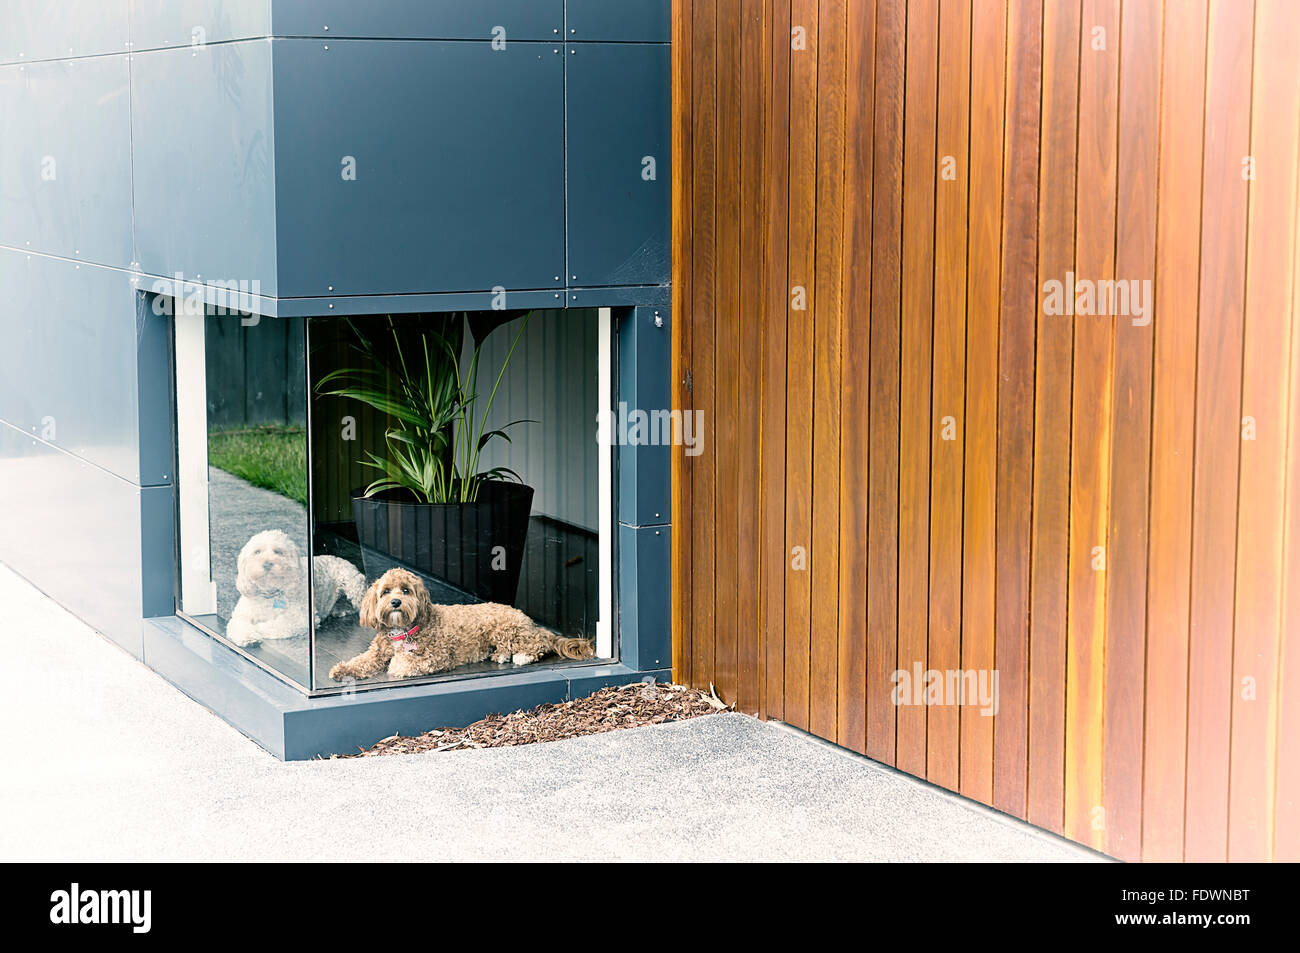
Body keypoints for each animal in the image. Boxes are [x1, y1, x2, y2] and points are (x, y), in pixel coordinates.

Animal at [226, 527, 369, 647]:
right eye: (257, 552)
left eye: (278, 552)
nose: (267, 564)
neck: (271, 594)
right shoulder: (240, 615)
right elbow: (237, 624)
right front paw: (248, 637)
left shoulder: (302, 618)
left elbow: (272, 625)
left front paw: (255, 629)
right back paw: (339, 608)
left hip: (353, 584)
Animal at [330, 569, 595, 681]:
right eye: (385, 591)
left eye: (405, 590)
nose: (395, 602)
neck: (403, 631)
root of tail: (527, 619)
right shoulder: (375, 653)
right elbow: (360, 661)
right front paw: (341, 669)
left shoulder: (434, 657)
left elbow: (400, 664)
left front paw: (395, 665)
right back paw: (500, 656)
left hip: (505, 629)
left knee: (538, 643)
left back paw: (522, 656)